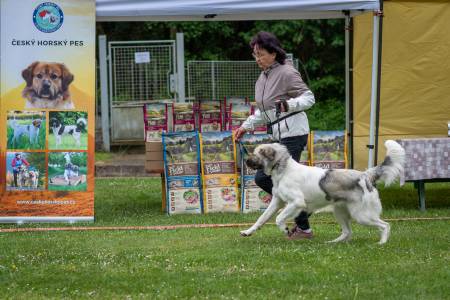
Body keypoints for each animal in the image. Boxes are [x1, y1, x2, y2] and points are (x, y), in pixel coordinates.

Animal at [241, 141, 406, 244]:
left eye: (256, 154)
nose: (246, 161)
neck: (283, 170)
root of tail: (365, 176)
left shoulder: (296, 203)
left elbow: (278, 218)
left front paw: (285, 230)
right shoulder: (276, 202)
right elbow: (261, 218)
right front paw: (248, 232)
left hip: (361, 215)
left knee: (385, 225)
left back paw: (382, 243)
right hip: (340, 212)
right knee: (347, 232)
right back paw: (332, 243)